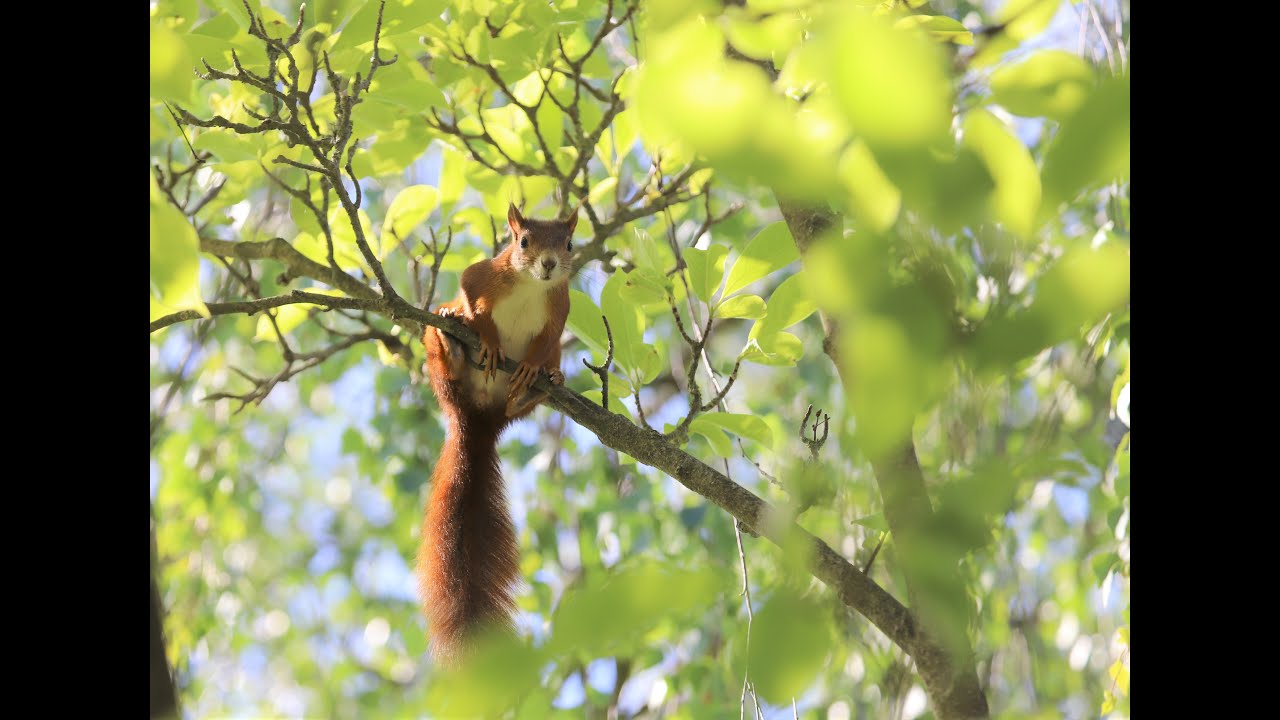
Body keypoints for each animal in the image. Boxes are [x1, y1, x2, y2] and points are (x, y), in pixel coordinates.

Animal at [417, 202, 577, 663]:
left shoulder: (559, 309)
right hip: (438, 363)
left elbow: (549, 337)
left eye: (568, 244)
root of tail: (478, 419)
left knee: (529, 389)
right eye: (522, 241)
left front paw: (531, 367)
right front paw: (487, 339)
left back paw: (538, 386)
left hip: (542, 373)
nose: (548, 264)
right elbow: (470, 289)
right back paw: (453, 345)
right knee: (446, 350)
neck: (530, 286)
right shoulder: (484, 275)